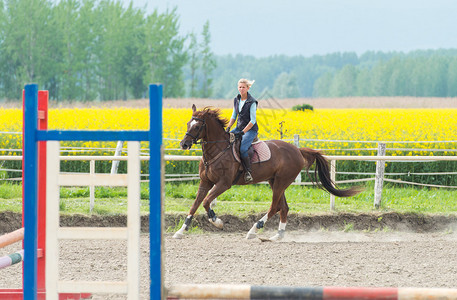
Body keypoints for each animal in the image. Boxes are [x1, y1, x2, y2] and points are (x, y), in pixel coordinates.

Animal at [173, 104, 362, 240]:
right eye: (188, 124)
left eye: (197, 126)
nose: (183, 144)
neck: (217, 150)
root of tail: (297, 150)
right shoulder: (205, 182)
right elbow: (195, 205)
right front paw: (181, 231)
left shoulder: (223, 184)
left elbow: (206, 202)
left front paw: (217, 222)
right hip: (275, 181)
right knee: (283, 208)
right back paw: (278, 235)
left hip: (280, 182)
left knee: (274, 207)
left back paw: (253, 230)